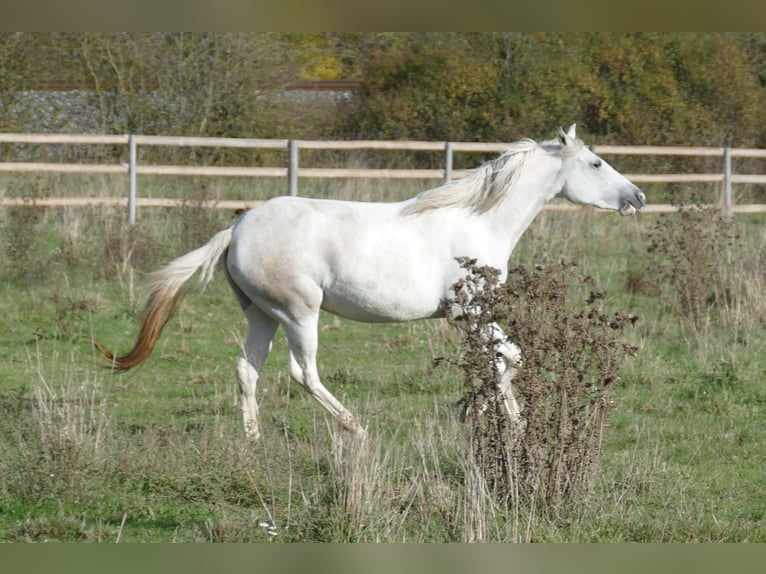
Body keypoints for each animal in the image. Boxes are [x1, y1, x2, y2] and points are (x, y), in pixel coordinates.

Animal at [97, 126, 648, 438]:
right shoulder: (469, 313)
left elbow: (506, 360)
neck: (479, 221)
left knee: (247, 370)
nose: (637, 197)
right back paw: (354, 428)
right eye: (596, 162)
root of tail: (235, 229)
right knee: (302, 374)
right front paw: (508, 423)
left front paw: (508, 420)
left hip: (261, 315)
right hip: (299, 313)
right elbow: (506, 360)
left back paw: (253, 441)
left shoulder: (473, 317)